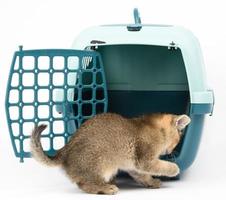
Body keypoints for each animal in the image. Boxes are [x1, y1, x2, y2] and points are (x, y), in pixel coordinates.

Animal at [30, 113, 191, 195]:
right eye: (178, 139)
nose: (171, 150)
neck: (154, 127)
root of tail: (65, 149)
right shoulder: (145, 160)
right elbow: (162, 167)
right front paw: (175, 168)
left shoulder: (134, 166)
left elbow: (143, 176)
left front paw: (151, 183)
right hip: (101, 164)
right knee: (84, 184)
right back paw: (106, 188)